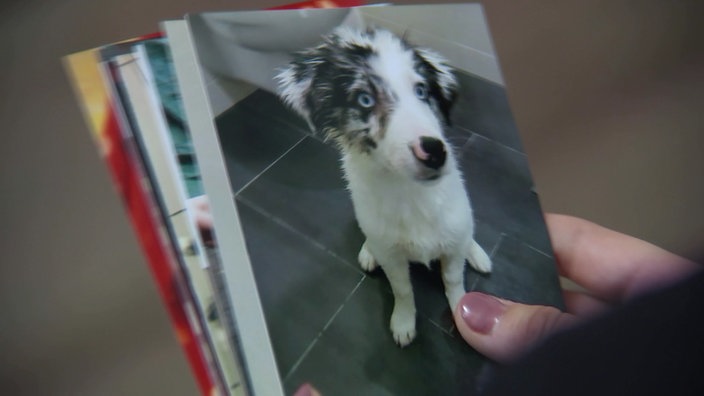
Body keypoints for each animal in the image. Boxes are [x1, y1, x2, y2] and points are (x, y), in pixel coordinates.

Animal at [276, 27, 490, 346]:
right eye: (365, 100)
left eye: (422, 91)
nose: (434, 152)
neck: (409, 194)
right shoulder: (392, 256)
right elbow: (402, 289)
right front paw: (403, 321)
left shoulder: (453, 241)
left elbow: (453, 279)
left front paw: (463, 311)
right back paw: (368, 251)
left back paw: (476, 253)